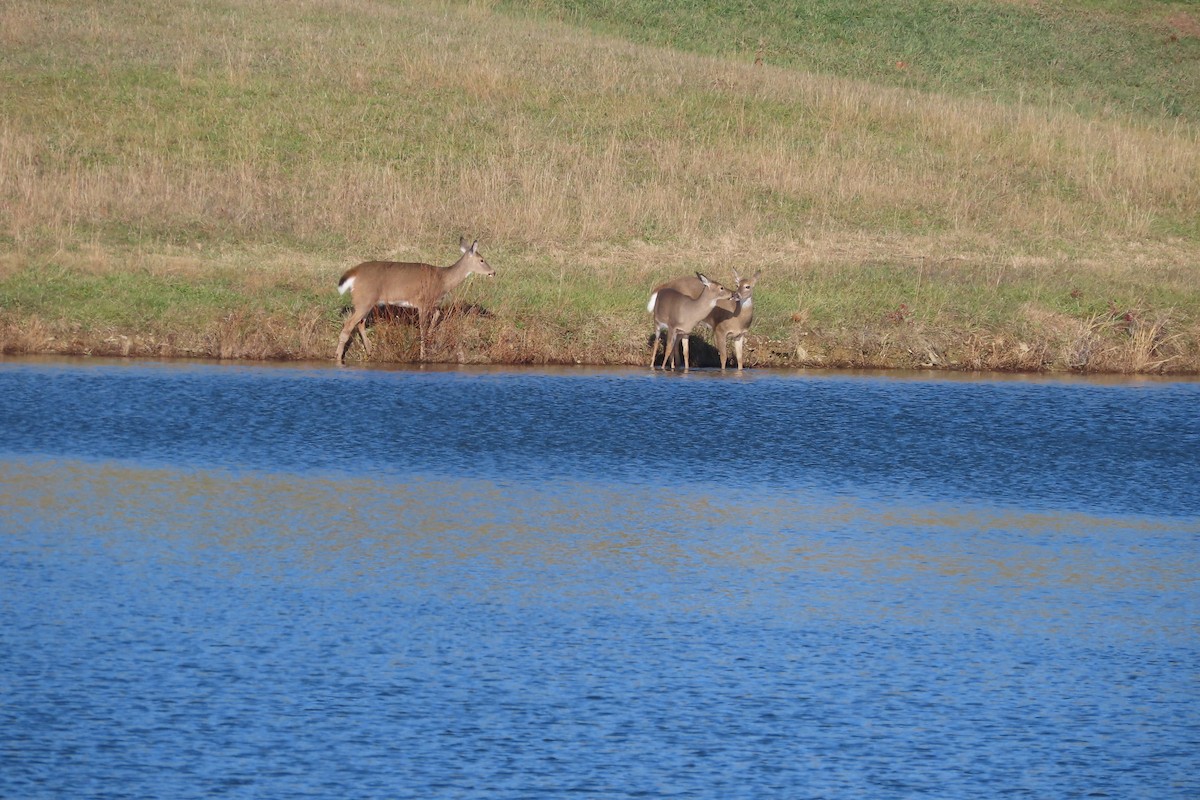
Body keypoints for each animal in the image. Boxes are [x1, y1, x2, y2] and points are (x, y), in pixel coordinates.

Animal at [335, 238, 495, 364]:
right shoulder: (422, 303)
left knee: (360, 324)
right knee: (348, 325)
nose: (493, 272)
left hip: (367, 302)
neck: (443, 280)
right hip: (364, 300)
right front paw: (422, 355)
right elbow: (422, 329)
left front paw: (430, 339)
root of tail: (354, 273)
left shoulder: (433, 304)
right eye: (482, 260)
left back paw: (370, 351)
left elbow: (437, 316)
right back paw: (338, 357)